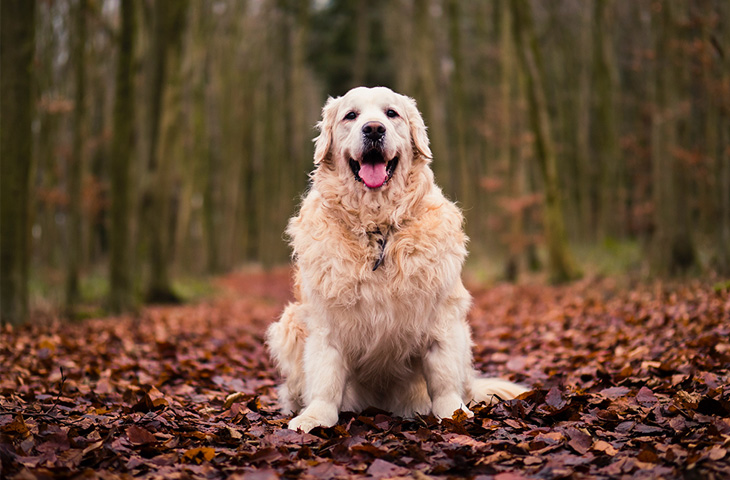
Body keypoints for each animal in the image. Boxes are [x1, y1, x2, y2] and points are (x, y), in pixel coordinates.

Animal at [264, 87, 528, 436]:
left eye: (392, 113)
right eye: (351, 115)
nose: (374, 129)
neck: (377, 229)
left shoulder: (443, 318)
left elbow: (443, 378)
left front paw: (453, 414)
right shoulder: (325, 323)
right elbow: (325, 378)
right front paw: (315, 417)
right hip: (289, 323)